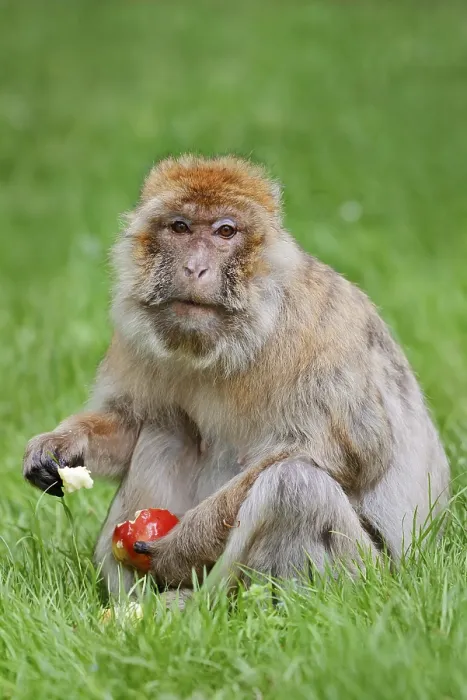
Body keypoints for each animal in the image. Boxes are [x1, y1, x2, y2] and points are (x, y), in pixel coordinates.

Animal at [23, 154, 450, 598]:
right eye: (180, 227)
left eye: (225, 231)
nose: (195, 267)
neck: (234, 339)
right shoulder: (136, 336)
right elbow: (131, 421)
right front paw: (60, 445)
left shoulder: (320, 332)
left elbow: (344, 453)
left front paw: (182, 545)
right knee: (167, 429)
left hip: (365, 573)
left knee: (295, 486)